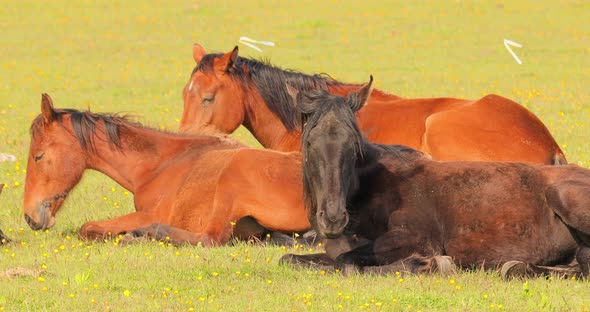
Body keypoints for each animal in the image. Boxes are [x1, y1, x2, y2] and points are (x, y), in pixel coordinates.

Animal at [22, 94, 310, 245]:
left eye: (38, 156)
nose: (29, 217)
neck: (162, 163)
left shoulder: (149, 213)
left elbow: (87, 228)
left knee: (209, 239)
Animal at [282, 76, 590, 278]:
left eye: (353, 144)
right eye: (308, 143)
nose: (333, 218)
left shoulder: (415, 238)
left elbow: (347, 263)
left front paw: (429, 264)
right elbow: (290, 258)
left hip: (560, 195)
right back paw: (516, 267)